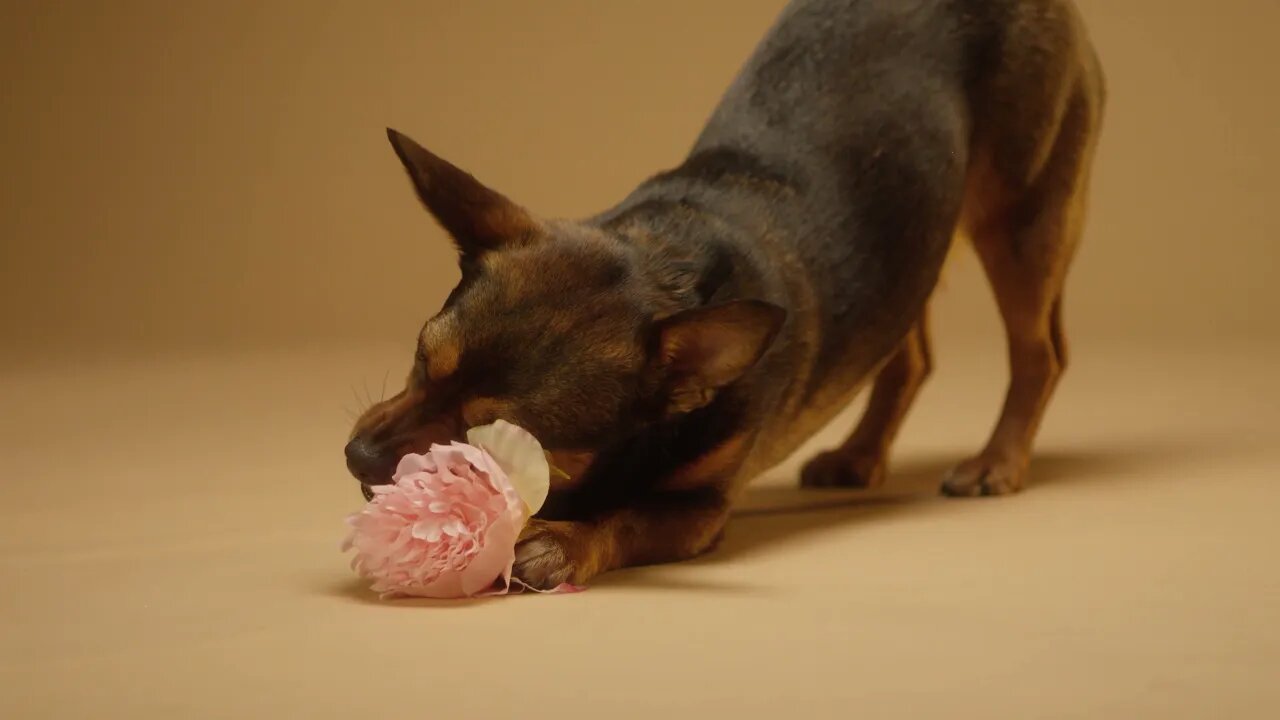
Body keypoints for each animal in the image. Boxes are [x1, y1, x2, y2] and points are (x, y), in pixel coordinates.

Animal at [345, 0, 1105, 589]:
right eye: (421, 359)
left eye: (489, 444)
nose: (356, 455)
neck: (667, 259)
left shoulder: (699, 512)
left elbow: (624, 518)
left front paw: (563, 539)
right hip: (914, 245)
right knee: (909, 355)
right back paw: (860, 455)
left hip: (1023, 221)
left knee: (1042, 353)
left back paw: (997, 462)